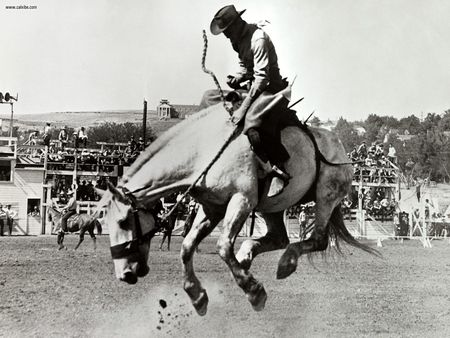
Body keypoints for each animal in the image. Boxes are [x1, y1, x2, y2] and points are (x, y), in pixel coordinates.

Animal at [96, 88, 380, 316]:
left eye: (123, 221)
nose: (123, 273)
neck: (204, 149)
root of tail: (340, 147)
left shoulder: (241, 200)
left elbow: (222, 246)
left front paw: (254, 292)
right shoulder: (212, 207)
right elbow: (187, 245)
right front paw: (197, 296)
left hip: (325, 197)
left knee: (317, 239)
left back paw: (284, 262)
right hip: (272, 205)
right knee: (279, 238)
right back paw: (248, 254)